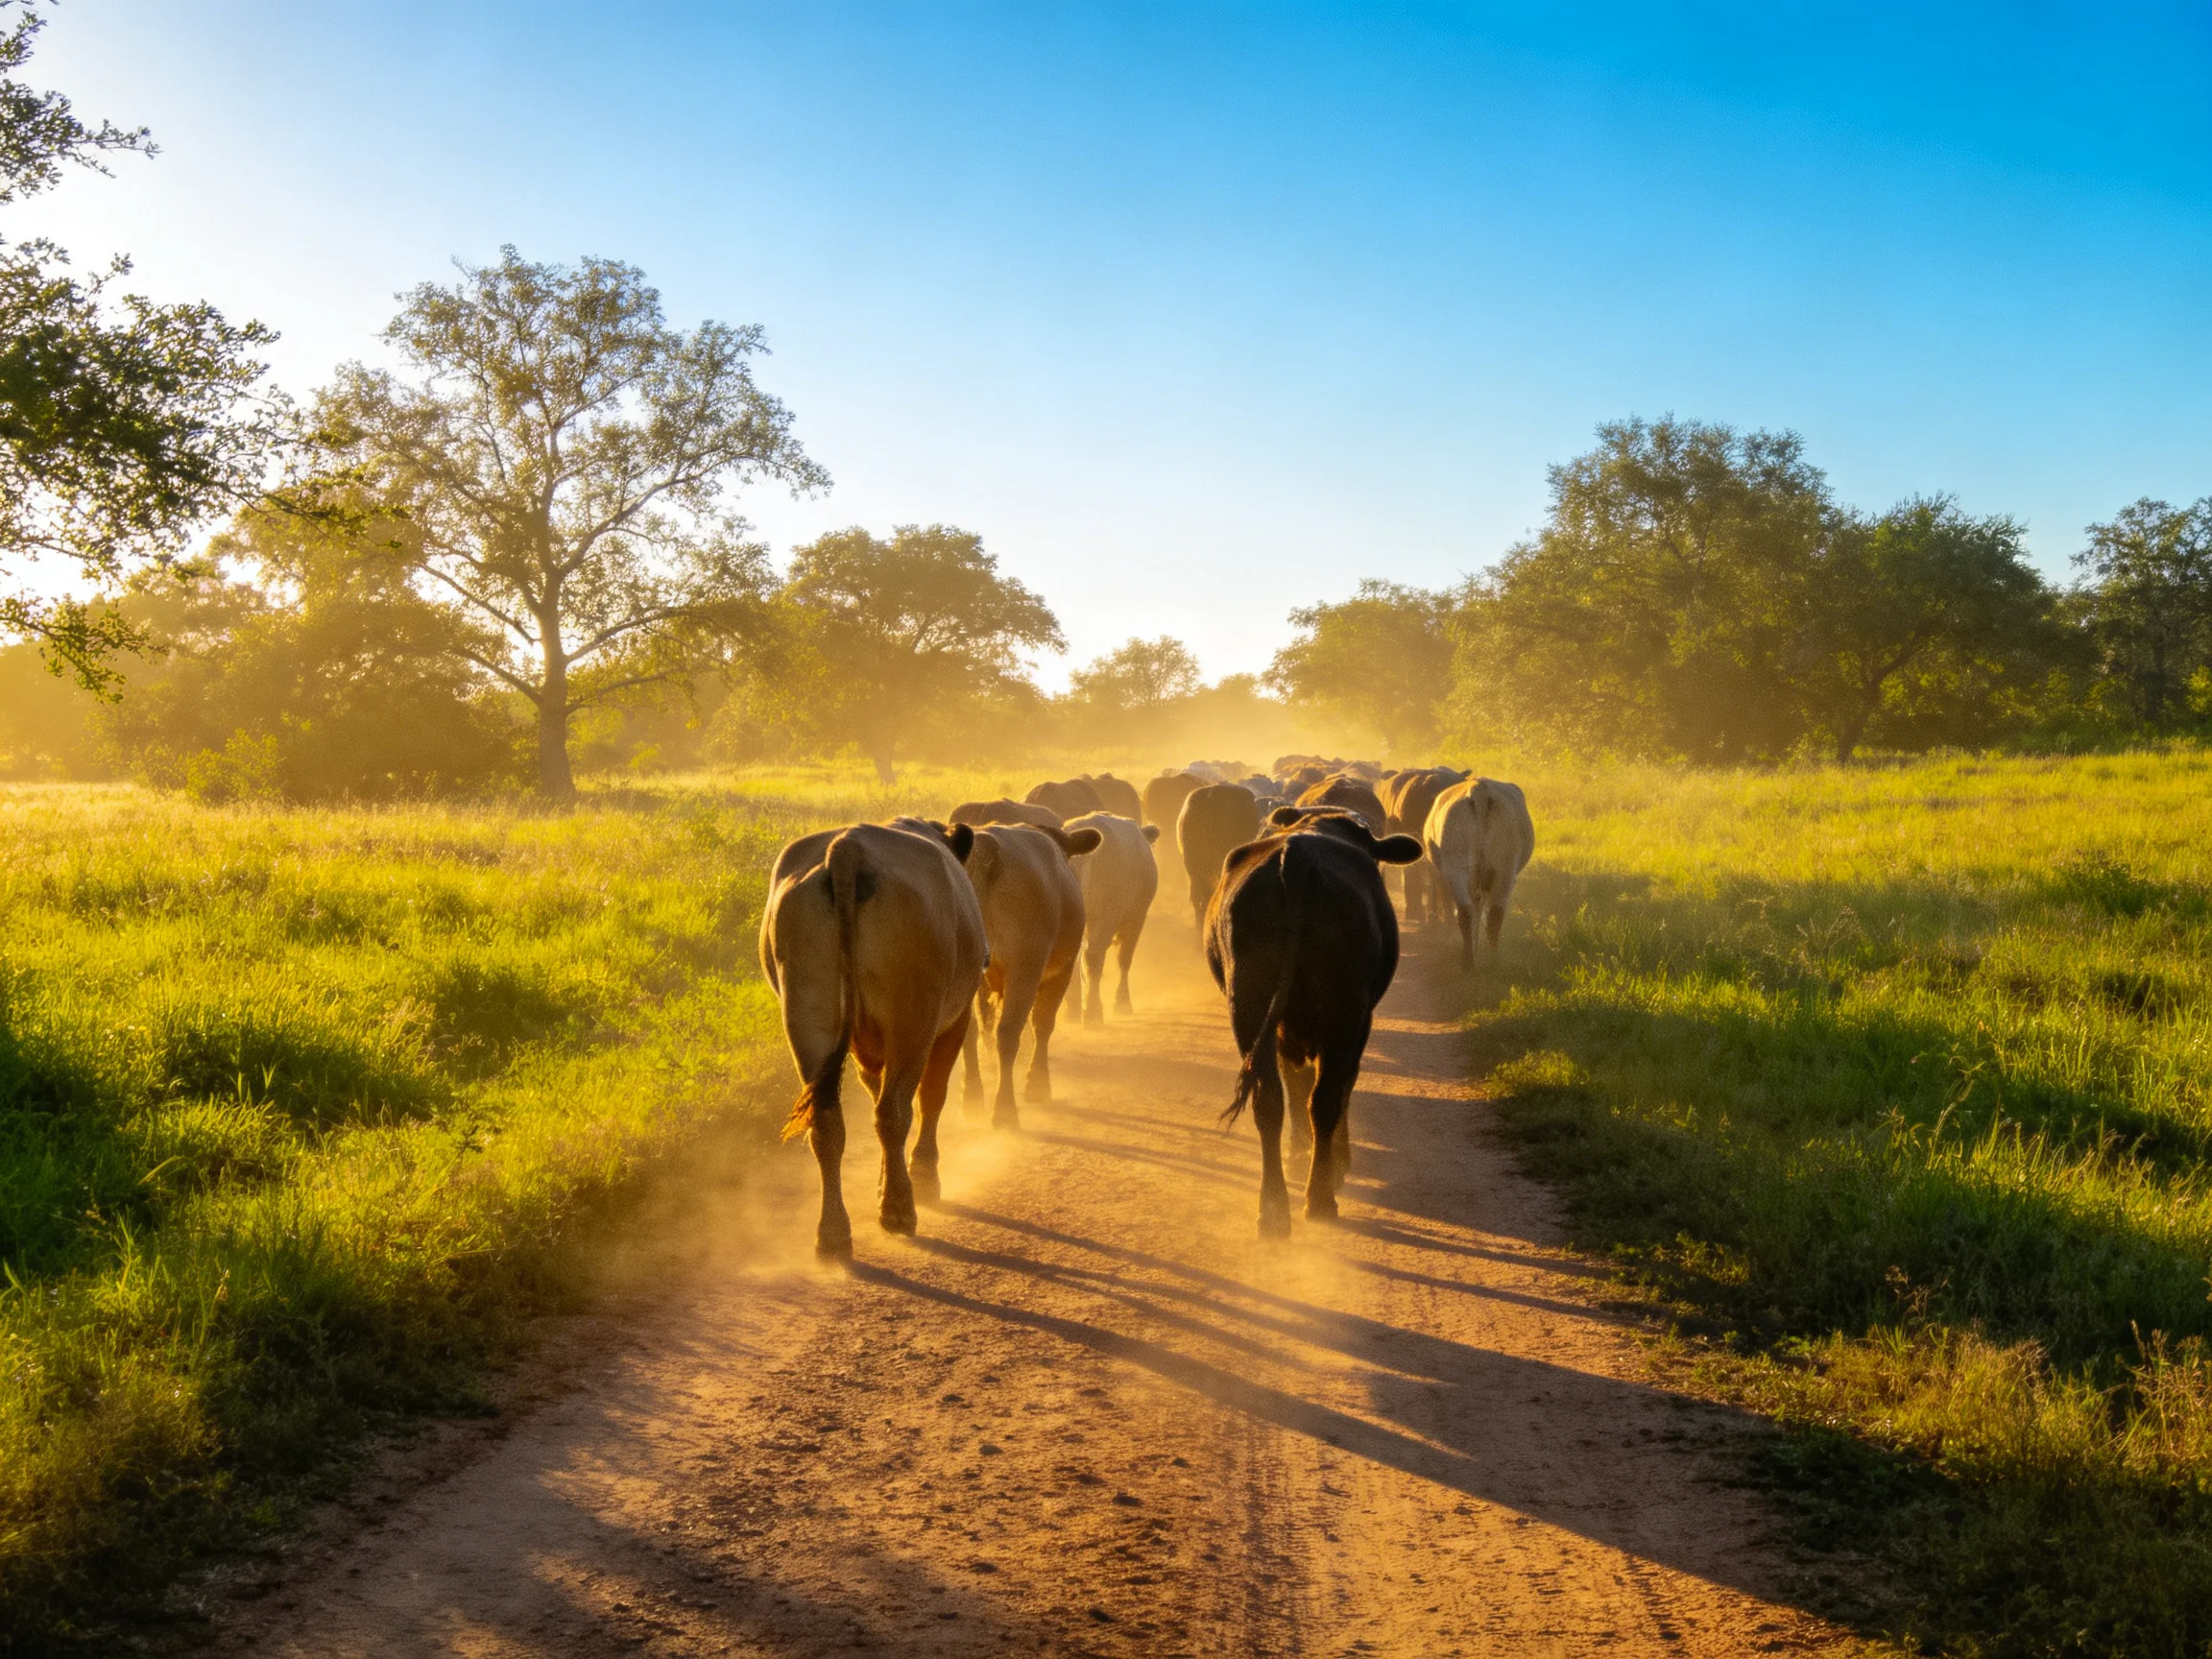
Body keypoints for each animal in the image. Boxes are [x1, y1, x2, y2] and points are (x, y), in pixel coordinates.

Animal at [761, 818, 986, 1255]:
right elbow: (933, 1094)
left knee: (828, 1122)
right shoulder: (955, 1019)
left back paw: (833, 1233)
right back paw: (899, 1209)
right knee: (893, 1111)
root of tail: (849, 847)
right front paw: (923, 1177)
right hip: (911, 1022)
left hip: (809, 1018)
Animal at [960, 820, 1102, 1127]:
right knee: (1008, 1034)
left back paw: (973, 1098)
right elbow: (1043, 1024)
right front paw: (1037, 1085)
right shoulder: (1061, 972)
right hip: (1025, 971)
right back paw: (1004, 1110)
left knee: (971, 1031)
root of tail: (986, 846)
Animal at [1063, 810, 1160, 1020]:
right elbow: (1123, 960)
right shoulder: (1135, 919)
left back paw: (1074, 1008)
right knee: (1094, 956)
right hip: (1110, 917)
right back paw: (1092, 1012)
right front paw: (1122, 1002)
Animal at [1205, 806, 1424, 1235]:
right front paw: (1334, 1159)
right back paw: (1321, 1195)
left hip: (1250, 1007)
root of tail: (1296, 857)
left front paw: (1298, 1153)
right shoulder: (1357, 1021)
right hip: (1343, 1011)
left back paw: (1274, 1209)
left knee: (1269, 1100)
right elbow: (1334, 1085)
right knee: (1325, 1098)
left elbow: (1295, 1082)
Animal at [1424, 777, 1536, 968]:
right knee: (1493, 915)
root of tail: (1479, 789)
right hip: (1504, 869)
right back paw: (1492, 961)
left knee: (1467, 911)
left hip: (1459, 867)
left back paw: (1468, 960)